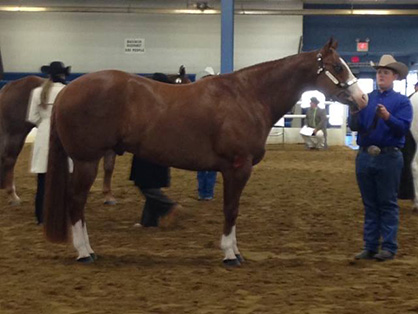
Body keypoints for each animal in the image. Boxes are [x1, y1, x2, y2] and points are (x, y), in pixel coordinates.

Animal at [0, 65, 189, 206]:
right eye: (182, 82)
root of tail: (9, 85)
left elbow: (109, 167)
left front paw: (107, 195)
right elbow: (108, 167)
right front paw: (108, 195)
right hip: (16, 132)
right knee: (9, 159)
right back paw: (12, 195)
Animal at [44, 39, 368, 264]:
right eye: (338, 67)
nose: (362, 98)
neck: (248, 96)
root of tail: (67, 90)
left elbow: (231, 210)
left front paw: (235, 251)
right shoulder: (238, 167)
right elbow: (231, 209)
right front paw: (230, 255)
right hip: (86, 160)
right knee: (76, 203)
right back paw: (85, 252)